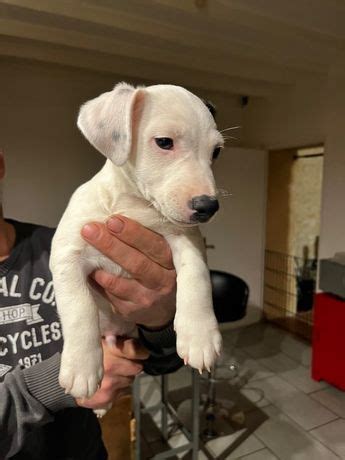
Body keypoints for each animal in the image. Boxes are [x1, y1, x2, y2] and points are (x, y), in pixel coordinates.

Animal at [50, 82, 223, 402]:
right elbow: (79, 309)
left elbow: (197, 278)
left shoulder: (186, 238)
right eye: (164, 142)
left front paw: (200, 335)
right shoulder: (67, 254)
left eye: (216, 151)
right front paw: (81, 367)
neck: (133, 206)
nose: (208, 206)